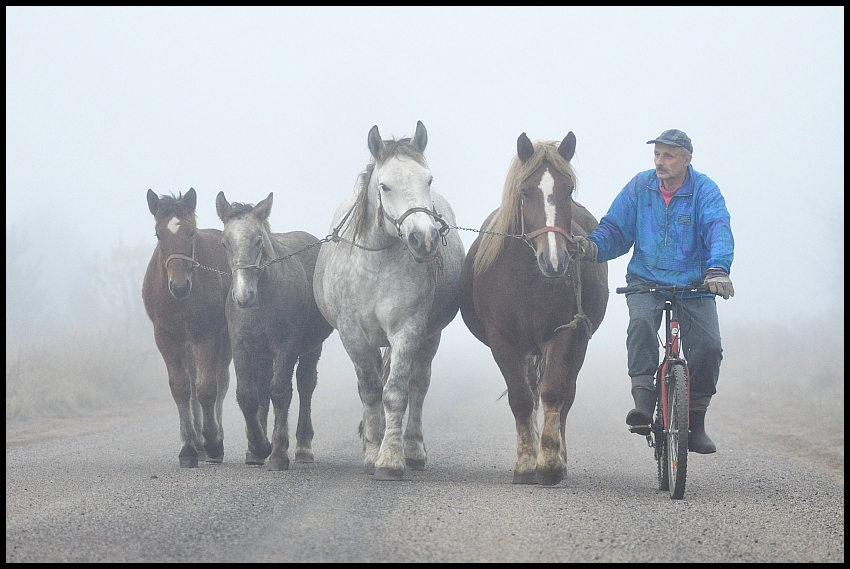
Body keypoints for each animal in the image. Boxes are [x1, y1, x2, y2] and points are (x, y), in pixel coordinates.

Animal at [143, 186, 232, 466]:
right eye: (158, 234)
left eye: (191, 232)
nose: (179, 285)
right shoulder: (166, 337)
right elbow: (182, 388)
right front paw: (189, 447)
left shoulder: (209, 335)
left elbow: (207, 388)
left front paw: (213, 441)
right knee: (192, 383)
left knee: (221, 382)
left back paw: (213, 437)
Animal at [312, 121, 464, 480]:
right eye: (385, 185)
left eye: (428, 180)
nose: (424, 238)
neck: (377, 265)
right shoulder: (352, 334)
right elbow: (370, 390)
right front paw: (372, 451)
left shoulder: (407, 329)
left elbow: (396, 393)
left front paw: (391, 458)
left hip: (431, 336)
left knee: (419, 385)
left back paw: (413, 449)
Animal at [460, 132, 608, 484]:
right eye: (525, 192)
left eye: (569, 189)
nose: (554, 261)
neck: (529, 280)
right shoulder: (503, 341)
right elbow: (521, 398)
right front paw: (526, 463)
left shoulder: (564, 333)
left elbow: (553, 392)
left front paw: (550, 464)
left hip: (578, 343)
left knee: (567, 395)